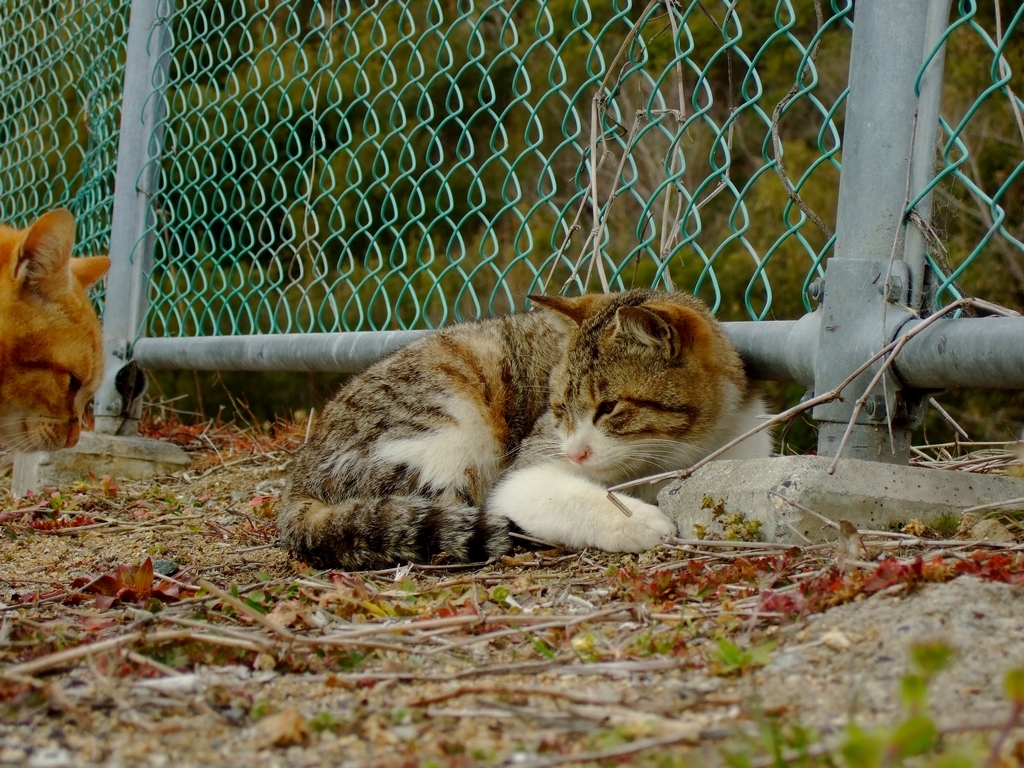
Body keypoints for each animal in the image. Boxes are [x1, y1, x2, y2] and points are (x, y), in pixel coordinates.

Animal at [280, 290, 770, 573]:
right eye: (559, 408)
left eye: (608, 408)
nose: (575, 453)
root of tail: (299, 475)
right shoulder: (524, 473)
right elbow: (563, 496)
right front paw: (637, 520)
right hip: (452, 423)